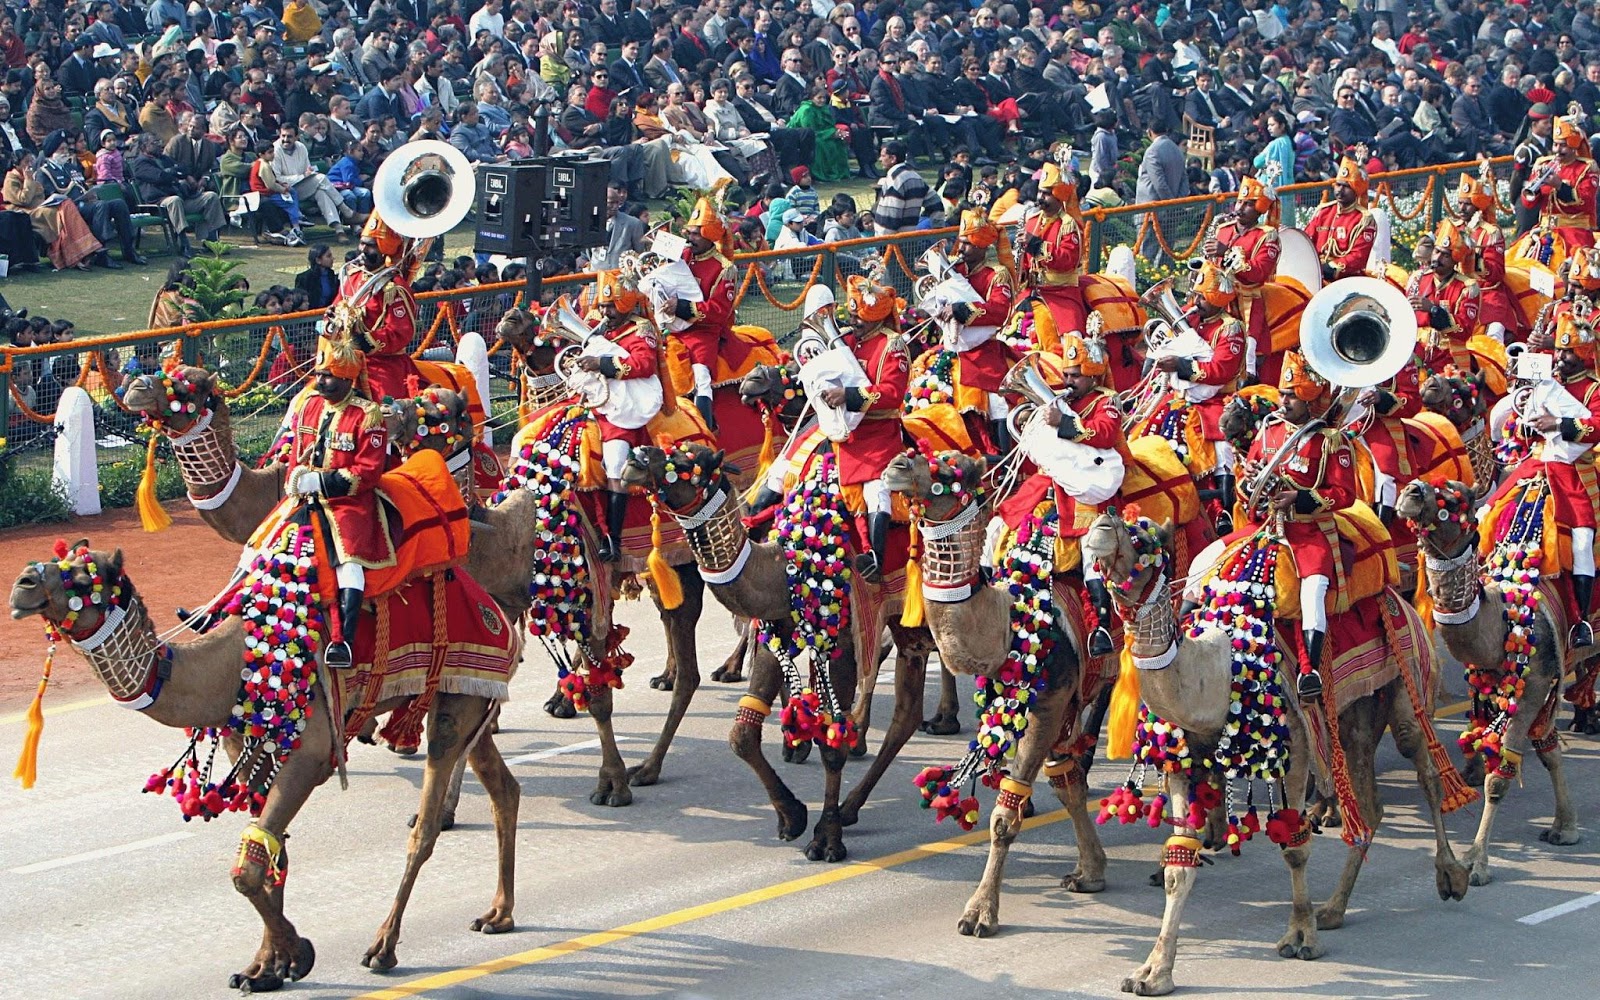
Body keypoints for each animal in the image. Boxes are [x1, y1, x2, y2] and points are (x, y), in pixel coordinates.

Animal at [9, 534, 521, 985]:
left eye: (83, 575)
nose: (22, 583)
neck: (230, 665)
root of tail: (497, 615)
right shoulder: (249, 747)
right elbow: (270, 849)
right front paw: (265, 967)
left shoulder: (311, 754)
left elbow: (247, 870)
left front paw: (297, 955)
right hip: (470, 698)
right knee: (503, 788)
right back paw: (499, 914)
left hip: (456, 696)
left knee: (426, 825)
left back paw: (383, 947)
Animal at [617, 441, 940, 864]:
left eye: (691, 460)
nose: (636, 458)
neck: (783, 567)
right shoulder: (776, 630)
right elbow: (741, 733)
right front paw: (793, 816)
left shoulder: (843, 642)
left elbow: (831, 744)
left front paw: (826, 840)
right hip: (909, 621)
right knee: (906, 713)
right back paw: (852, 807)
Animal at [883, 451, 1120, 934]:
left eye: (951, 469)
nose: (897, 465)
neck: (1010, 625)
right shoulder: (1049, 702)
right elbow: (1067, 785)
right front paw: (1090, 873)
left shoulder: (1047, 706)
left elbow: (1003, 817)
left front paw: (979, 913)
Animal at [1081, 512, 1465, 992]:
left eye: (1145, 538)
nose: (1103, 523)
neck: (1220, 670)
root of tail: (1402, 598)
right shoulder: (1182, 762)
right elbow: (1178, 864)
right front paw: (1152, 972)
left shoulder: (1295, 751)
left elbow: (1294, 849)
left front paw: (1301, 937)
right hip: (1352, 718)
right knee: (1370, 805)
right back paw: (1334, 909)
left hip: (1405, 678)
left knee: (1426, 770)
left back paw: (1452, 876)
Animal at [1395, 480, 1580, 883]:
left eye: (1458, 495)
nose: (1411, 492)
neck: (1505, 619)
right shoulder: (1501, 683)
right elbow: (1548, 751)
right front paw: (1564, 827)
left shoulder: (1534, 685)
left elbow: (1499, 778)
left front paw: (1476, 862)